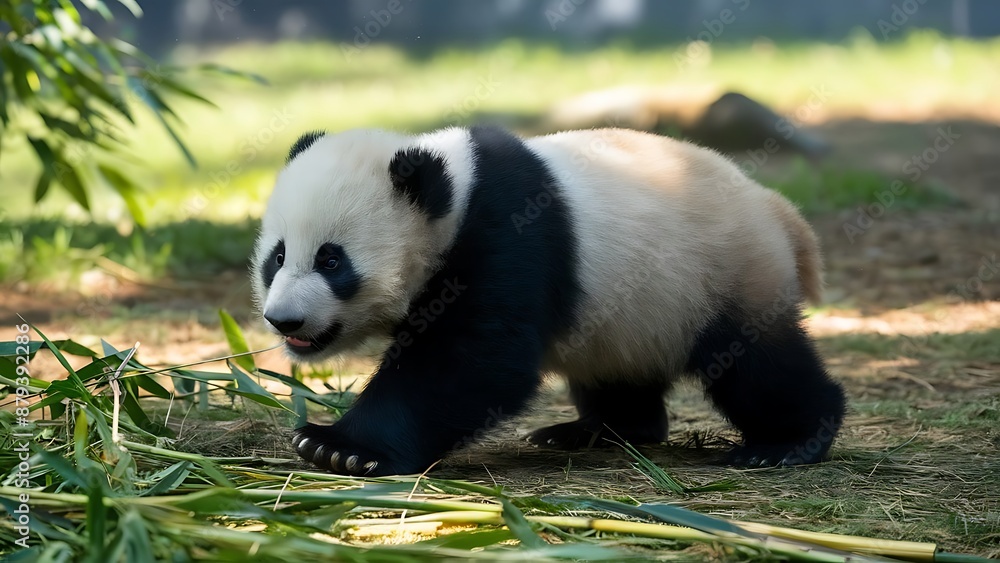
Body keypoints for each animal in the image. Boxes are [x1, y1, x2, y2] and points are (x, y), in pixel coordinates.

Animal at [251, 125, 846, 477]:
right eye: (277, 258)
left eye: (331, 261)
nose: (284, 321)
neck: (453, 192)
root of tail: (775, 208)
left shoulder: (510, 234)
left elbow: (473, 360)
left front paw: (340, 446)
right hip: (630, 314)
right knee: (619, 374)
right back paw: (591, 431)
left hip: (721, 274)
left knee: (756, 365)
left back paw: (786, 441)